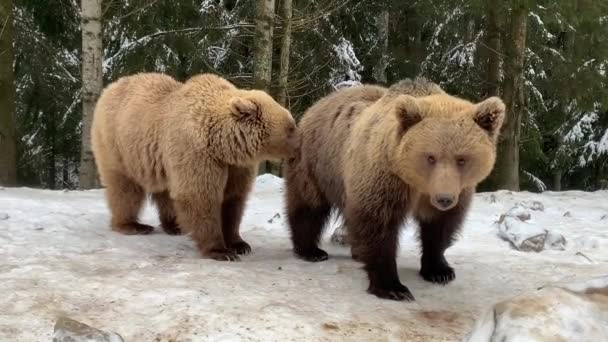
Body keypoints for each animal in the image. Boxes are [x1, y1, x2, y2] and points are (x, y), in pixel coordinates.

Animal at [91, 72, 296, 260]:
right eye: (291, 127)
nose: (298, 146)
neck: (223, 144)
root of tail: (110, 87)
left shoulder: (235, 166)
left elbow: (233, 199)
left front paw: (240, 244)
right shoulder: (197, 152)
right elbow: (200, 196)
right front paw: (220, 250)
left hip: (158, 160)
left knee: (165, 191)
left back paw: (174, 225)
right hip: (118, 145)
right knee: (124, 188)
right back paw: (132, 225)